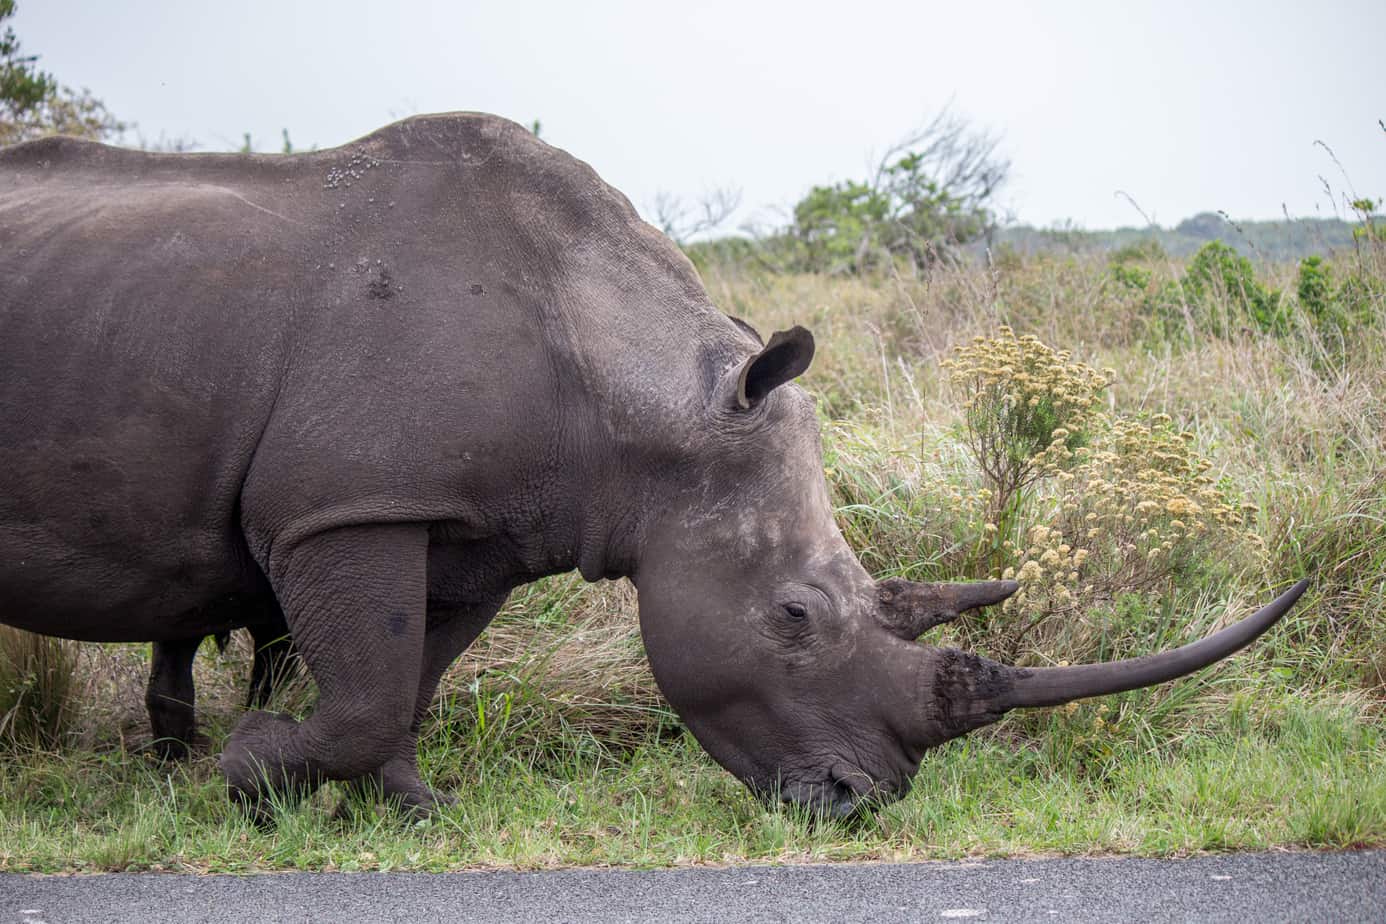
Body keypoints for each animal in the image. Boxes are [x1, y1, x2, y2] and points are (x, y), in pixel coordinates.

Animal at [0, 113, 1306, 820]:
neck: (647, 406)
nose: (852, 807)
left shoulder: (473, 527)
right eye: (793, 615)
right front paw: (249, 776)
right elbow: (367, 690)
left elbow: (407, 682)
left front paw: (410, 813)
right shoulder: (345, 506)